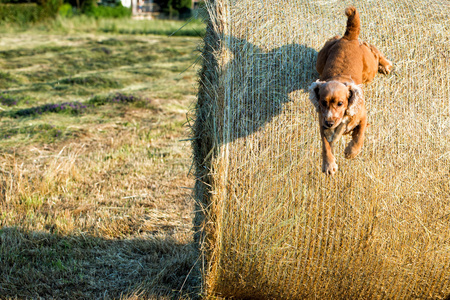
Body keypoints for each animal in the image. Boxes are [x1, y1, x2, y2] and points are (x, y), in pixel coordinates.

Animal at [308, 6, 392, 176]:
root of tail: (349, 38)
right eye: (322, 102)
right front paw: (328, 164)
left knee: (372, 49)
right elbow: (325, 145)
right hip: (323, 57)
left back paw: (385, 64)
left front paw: (351, 151)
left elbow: (359, 135)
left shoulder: (363, 115)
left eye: (341, 103)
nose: (329, 122)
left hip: (370, 70)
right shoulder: (322, 123)